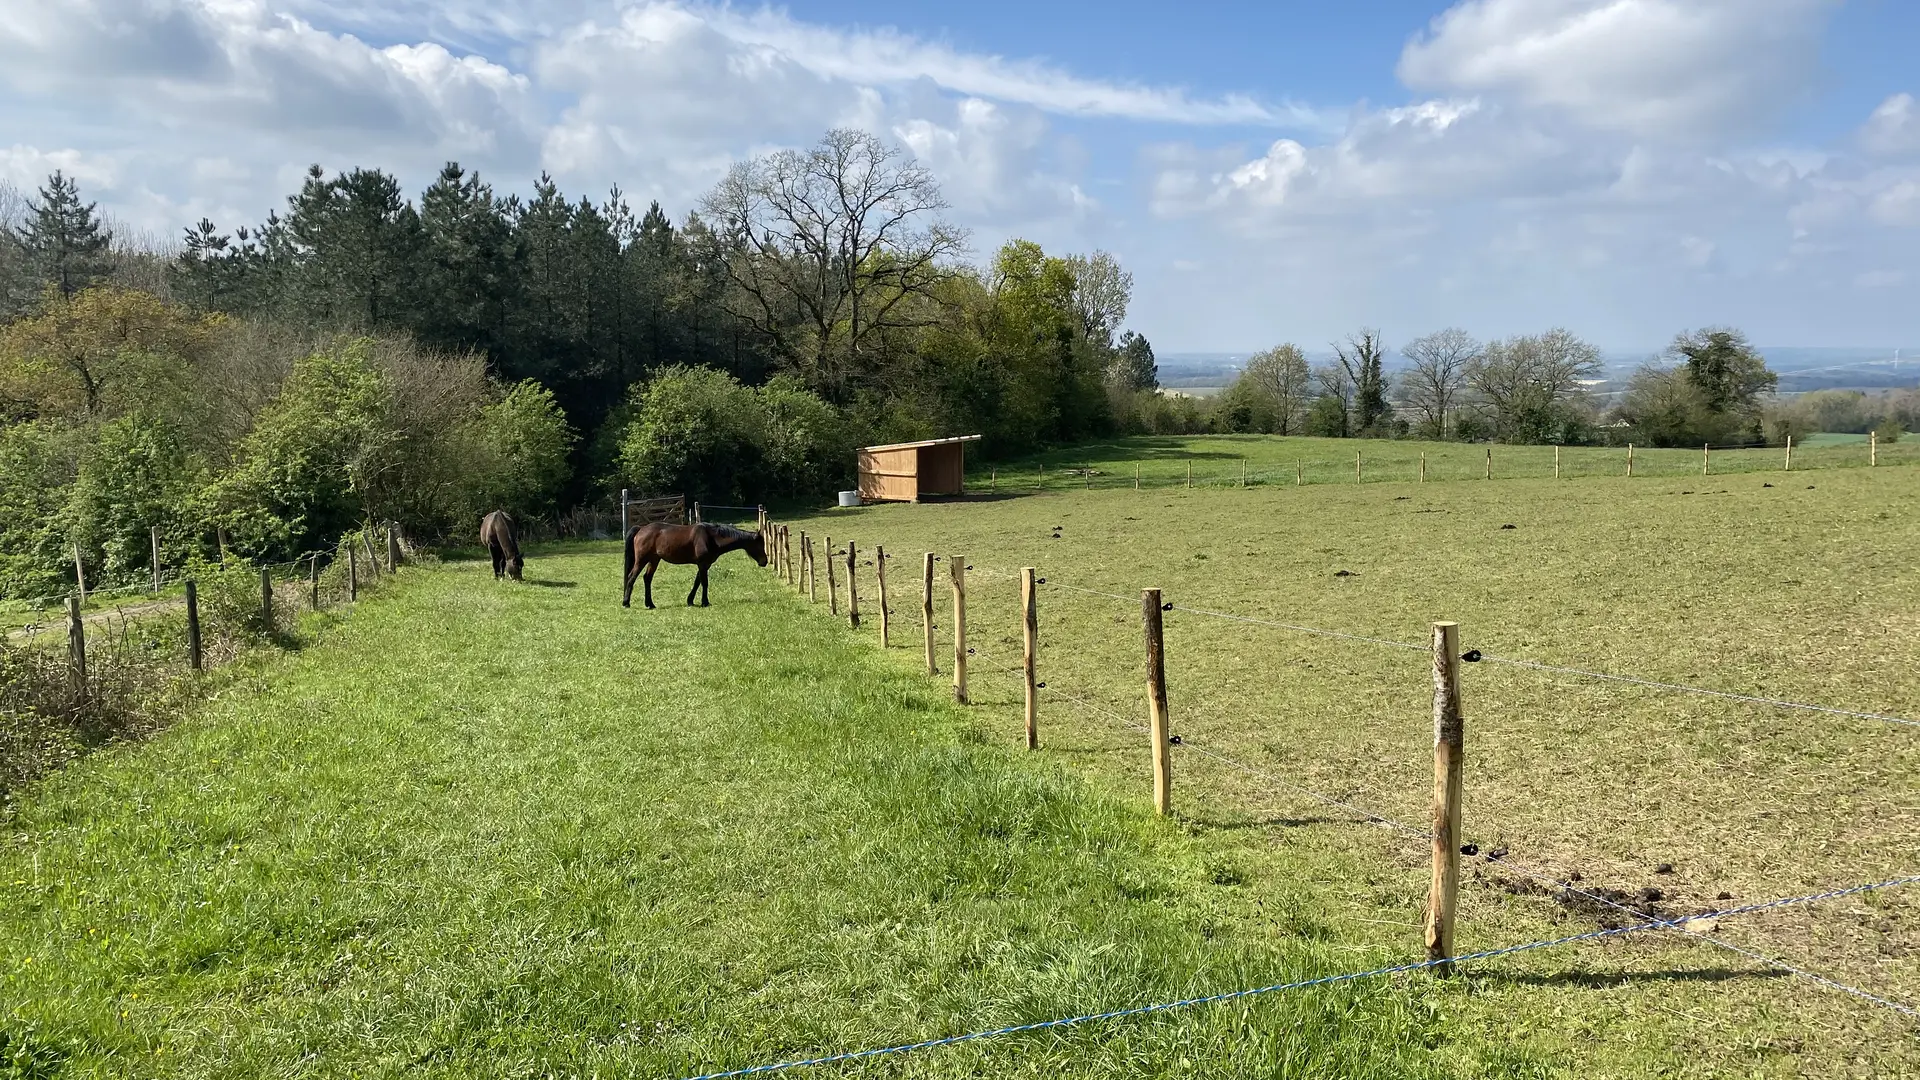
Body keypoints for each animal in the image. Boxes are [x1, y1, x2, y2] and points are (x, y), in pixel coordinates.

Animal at [618, 522, 760, 607]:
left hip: (654, 560)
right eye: (760, 544)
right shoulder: (702, 564)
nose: (763, 562)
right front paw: (705, 602)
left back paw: (650, 604)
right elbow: (704, 583)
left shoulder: (704, 565)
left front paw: (690, 601)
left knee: (647, 579)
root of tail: (641, 529)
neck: (710, 537)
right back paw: (626, 603)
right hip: (642, 560)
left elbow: (697, 582)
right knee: (631, 577)